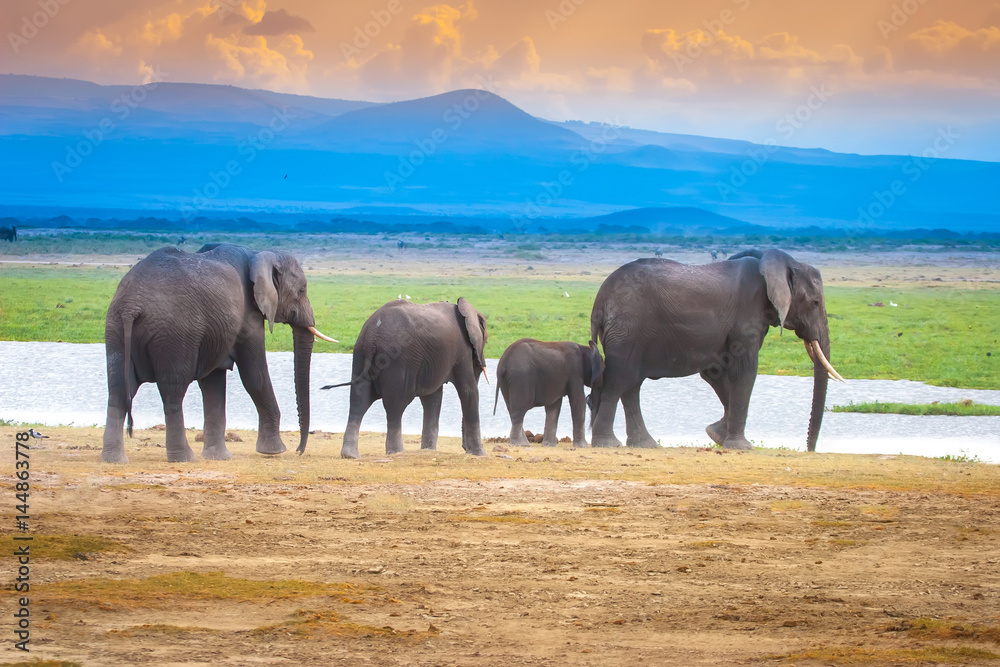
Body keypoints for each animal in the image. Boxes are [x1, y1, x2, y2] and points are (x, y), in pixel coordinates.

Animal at [101, 243, 336, 464]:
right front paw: (274, 451)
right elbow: (255, 376)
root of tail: (131, 306)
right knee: (173, 392)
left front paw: (218, 457)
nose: (299, 451)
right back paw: (184, 457)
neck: (259, 254)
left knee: (118, 391)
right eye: (301, 291)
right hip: (174, 335)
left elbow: (213, 383)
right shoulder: (249, 314)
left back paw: (114, 459)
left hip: (115, 328)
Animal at [323, 298, 488, 459]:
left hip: (360, 355)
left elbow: (432, 398)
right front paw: (480, 454)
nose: (464, 448)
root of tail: (372, 335)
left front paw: (428, 451)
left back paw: (350, 455)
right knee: (396, 404)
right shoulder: (462, 352)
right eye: (485, 340)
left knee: (358, 401)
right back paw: (397, 452)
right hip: (397, 362)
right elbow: (468, 392)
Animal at [588, 249, 844, 452]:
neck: (776, 261)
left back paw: (645, 444)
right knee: (619, 380)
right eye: (815, 303)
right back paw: (607, 444)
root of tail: (599, 300)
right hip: (628, 330)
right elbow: (745, 372)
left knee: (632, 385)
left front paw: (716, 434)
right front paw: (741, 446)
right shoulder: (747, 318)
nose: (810, 450)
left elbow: (717, 373)